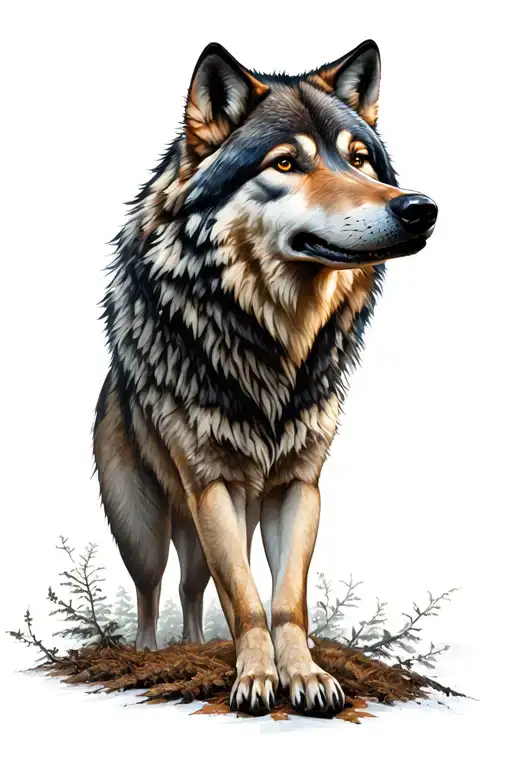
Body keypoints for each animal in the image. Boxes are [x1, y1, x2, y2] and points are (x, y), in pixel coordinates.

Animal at [94, 39, 437, 717]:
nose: (420, 209)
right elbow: (247, 599)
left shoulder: (297, 487)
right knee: (152, 585)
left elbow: (284, 600)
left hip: (205, 524)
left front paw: (302, 675)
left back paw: (197, 643)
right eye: (285, 163)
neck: (274, 344)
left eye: (360, 158)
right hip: (146, 522)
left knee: (192, 586)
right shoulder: (214, 487)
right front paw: (255, 677)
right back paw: (151, 652)